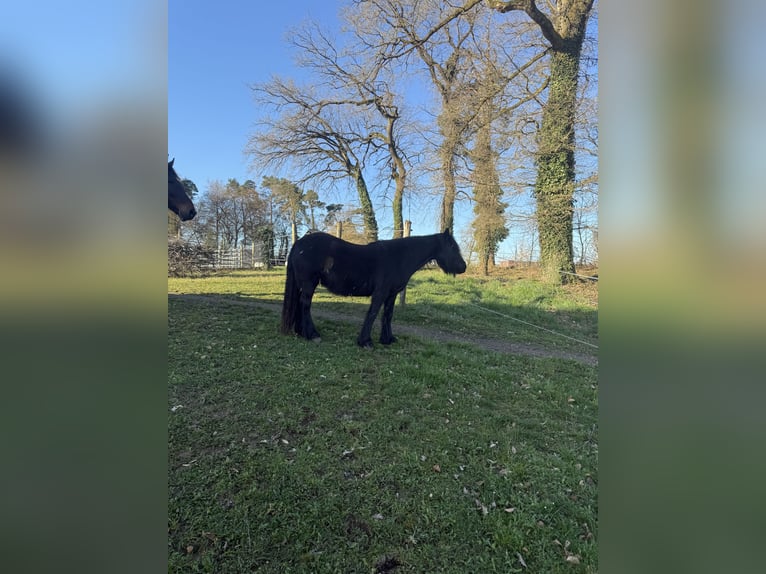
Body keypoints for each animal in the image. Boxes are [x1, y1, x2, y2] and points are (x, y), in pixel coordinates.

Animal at [281, 230, 467, 348]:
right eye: (452, 247)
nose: (463, 267)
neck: (398, 257)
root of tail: (299, 243)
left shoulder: (391, 294)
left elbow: (387, 315)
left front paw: (388, 339)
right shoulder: (380, 293)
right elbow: (372, 314)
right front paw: (365, 342)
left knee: (300, 305)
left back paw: (301, 332)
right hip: (309, 284)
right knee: (305, 305)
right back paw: (312, 335)